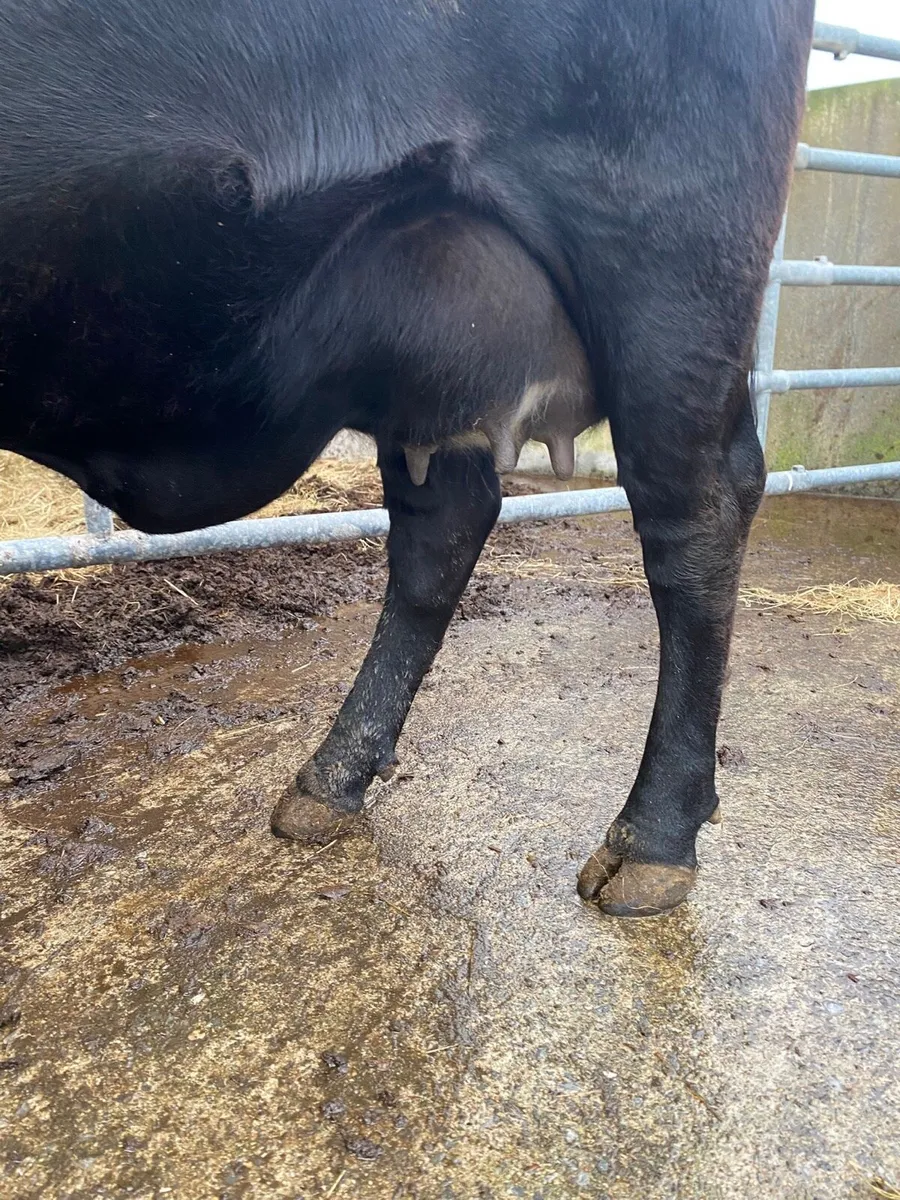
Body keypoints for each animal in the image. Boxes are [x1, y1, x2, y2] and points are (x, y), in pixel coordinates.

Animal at [0, 0, 814, 917]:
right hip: (426, 335)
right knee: (444, 529)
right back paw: (330, 782)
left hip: (671, 276)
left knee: (698, 511)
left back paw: (653, 844)